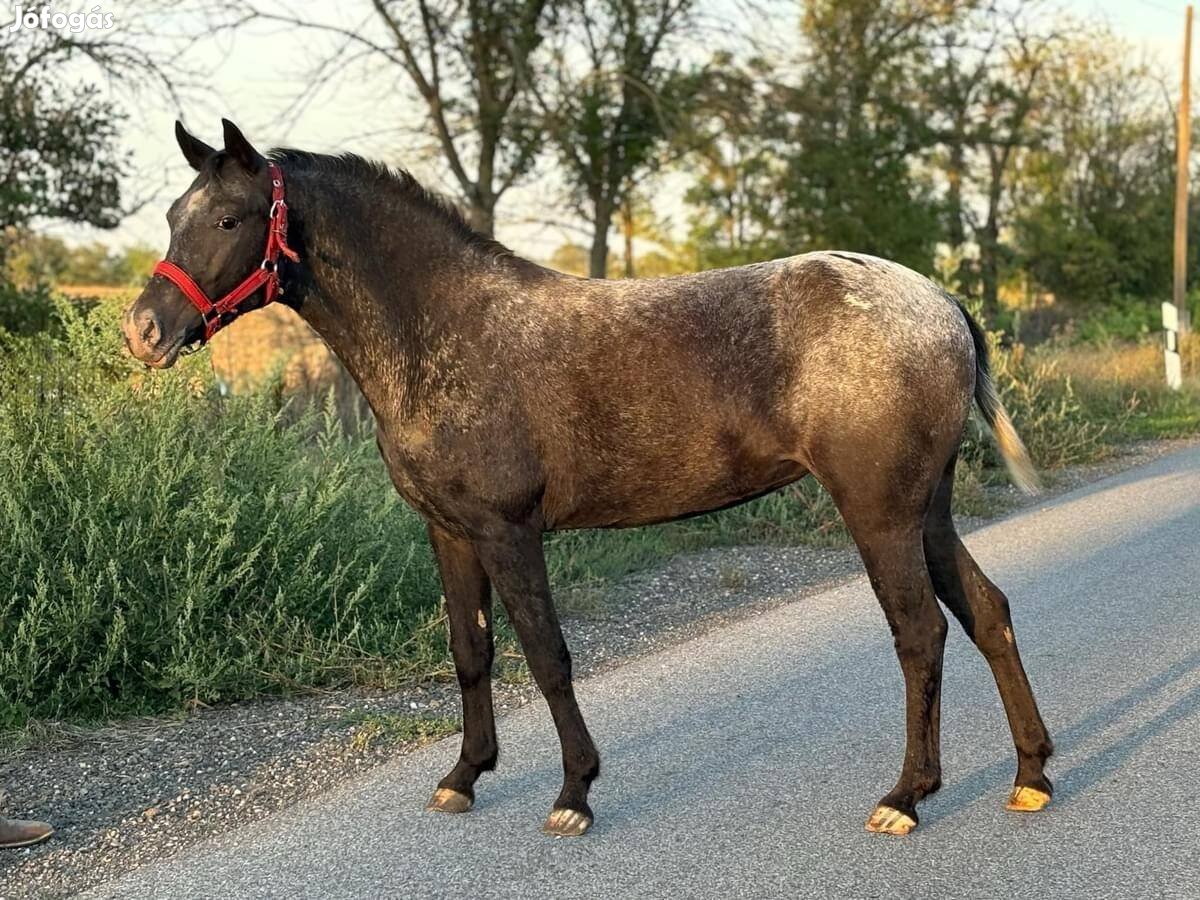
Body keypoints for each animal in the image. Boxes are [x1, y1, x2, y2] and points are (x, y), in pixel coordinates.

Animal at [124, 118, 1051, 840]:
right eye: (173, 215)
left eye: (231, 217)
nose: (144, 330)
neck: (443, 329)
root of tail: (940, 302)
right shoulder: (448, 531)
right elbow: (471, 652)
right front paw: (463, 777)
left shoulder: (509, 530)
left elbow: (547, 655)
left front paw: (573, 793)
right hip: (926, 510)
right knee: (987, 612)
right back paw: (1031, 774)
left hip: (879, 512)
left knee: (920, 633)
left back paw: (906, 796)